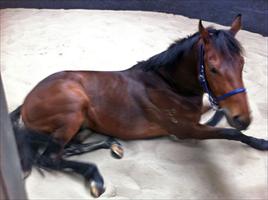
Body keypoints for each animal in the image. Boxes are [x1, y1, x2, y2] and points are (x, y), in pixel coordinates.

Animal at [10, 14, 268, 198]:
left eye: (242, 63)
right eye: (213, 69)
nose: (243, 118)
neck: (168, 84)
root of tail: (26, 102)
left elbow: (216, 113)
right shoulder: (186, 130)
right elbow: (230, 132)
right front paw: (261, 143)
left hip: (80, 126)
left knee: (66, 150)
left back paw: (113, 145)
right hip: (74, 109)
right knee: (49, 158)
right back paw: (95, 178)